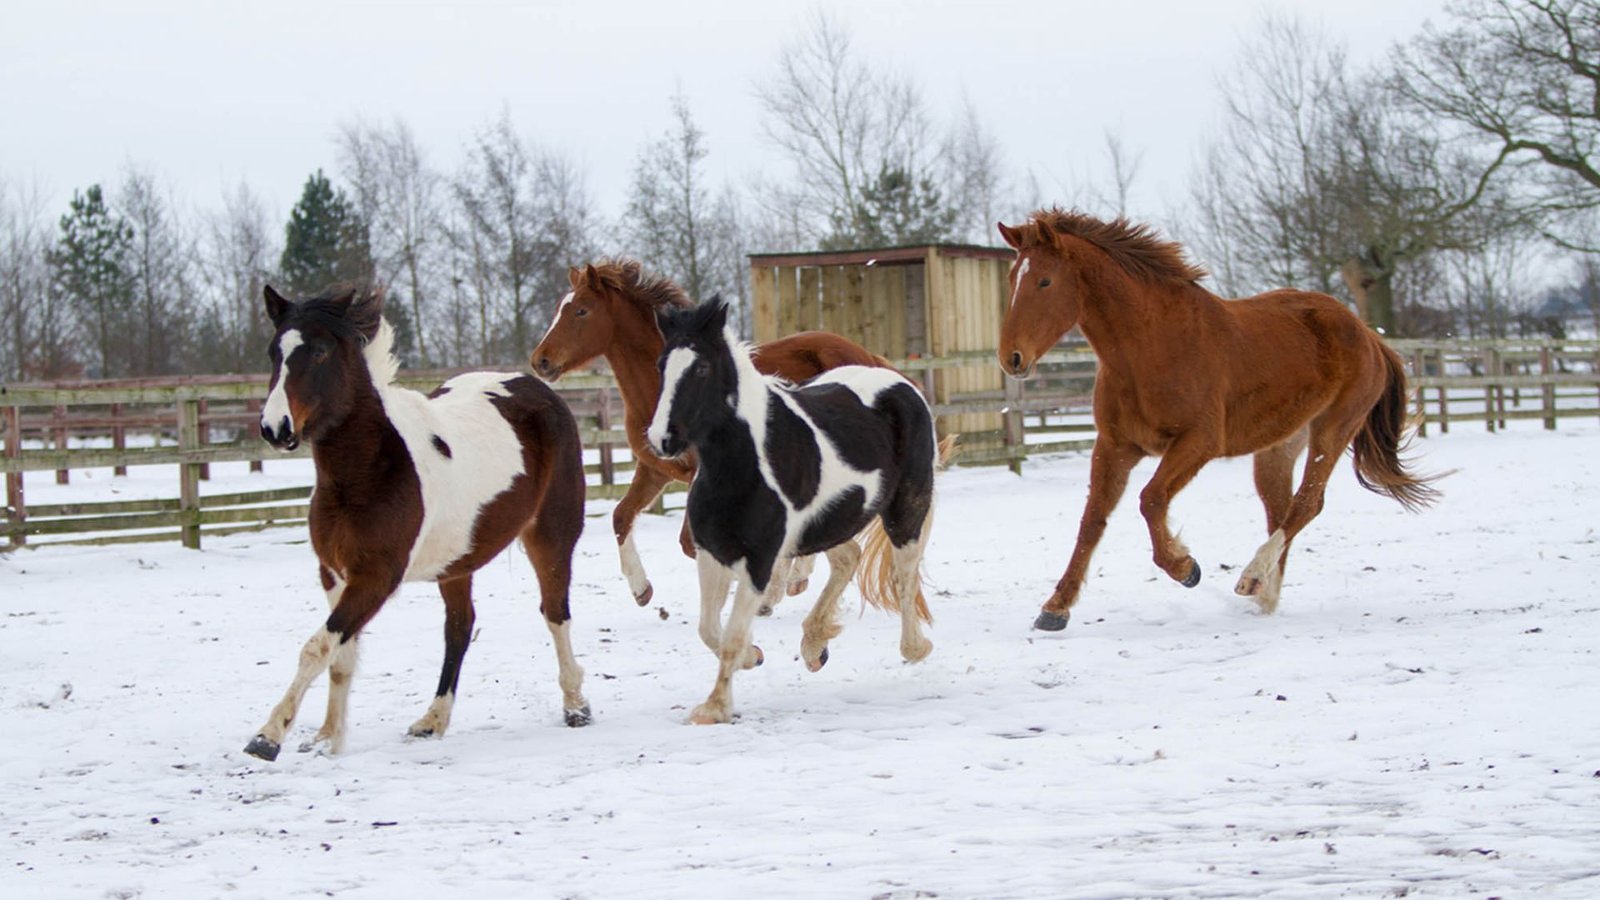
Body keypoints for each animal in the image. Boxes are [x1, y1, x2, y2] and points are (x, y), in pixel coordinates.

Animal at [246, 281, 598, 755]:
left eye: (319, 352)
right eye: (273, 352)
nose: (275, 428)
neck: (366, 471)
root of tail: (539, 389)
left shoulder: (376, 577)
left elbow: (317, 648)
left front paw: (268, 736)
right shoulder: (334, 574)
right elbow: (341, 656)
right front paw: (327, 739)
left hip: (551, 536)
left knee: (556, 613)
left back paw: (576, 706)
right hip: (458, 562)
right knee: (460, 627)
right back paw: (432, 720)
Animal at [528, 259, 896, 608]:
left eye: (581, 310)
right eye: (561, 307)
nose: (539, 361)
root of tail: (868, 356)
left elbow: (693, 543)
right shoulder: (655, 469)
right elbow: (621, 517)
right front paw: (641, 590)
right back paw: (792, 583)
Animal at [643, 299, 934, 720]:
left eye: (701, 368)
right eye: (661, 365)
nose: (662, 439)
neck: (741, 466)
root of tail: (897, 380)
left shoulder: (759, 559)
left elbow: (730, 636)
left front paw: (714, 708)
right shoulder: (712, 553)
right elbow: (710, 629)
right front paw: (753, 657)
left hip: (905, 510)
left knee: (903, 576)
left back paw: (915, 647)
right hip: (827, 523)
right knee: (849, 558)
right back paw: (815, 646)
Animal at [998, 208, 1440, 630]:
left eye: (1045, 281)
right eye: (1012, 278)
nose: (1011, 358)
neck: (1150, 348)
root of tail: (1369, 335)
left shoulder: (1199, 442)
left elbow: (1150, 499)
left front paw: (1185, 568)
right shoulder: (1115, 446)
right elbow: (1092, 520)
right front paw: (1055, 609)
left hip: (1333, 430)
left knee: (1306, 504)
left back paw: (1252, 577)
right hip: (1278, 447)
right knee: (1281, 509)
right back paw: (1264, 595)